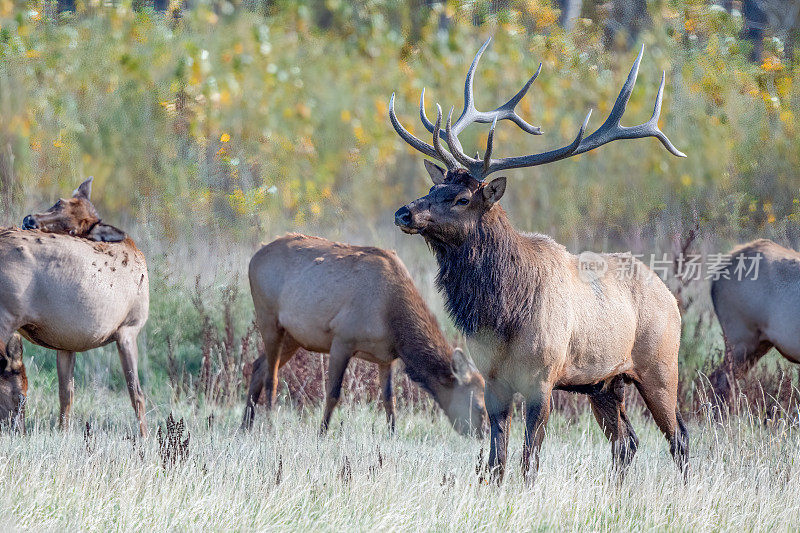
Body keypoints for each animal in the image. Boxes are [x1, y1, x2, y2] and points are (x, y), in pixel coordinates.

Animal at [0, 179, 150, 436]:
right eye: (58, 202)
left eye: (72, 230)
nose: (30, 221)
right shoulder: (128, 329)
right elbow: (136, 393)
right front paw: (146, 438)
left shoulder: (68, 342)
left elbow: (66, 393)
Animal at [241, 235, 488, 434]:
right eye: (478, 405)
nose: (483, 432)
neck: (393, 319)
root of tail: (253, 258)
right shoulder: (342, 340)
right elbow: (333, 393)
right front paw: (321, 433)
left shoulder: (386, 357)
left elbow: (390, 399)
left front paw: (392, 434)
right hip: (268, 319)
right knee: (271, 376)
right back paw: (270, 425)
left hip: (294, 336)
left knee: (258, 366)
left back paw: (245, 426)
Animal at [388, 38, 688, 482]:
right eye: (432, 186)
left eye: (462, 198)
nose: (404, 213)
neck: (503, 312)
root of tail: (671, 296)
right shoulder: (493, 377)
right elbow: (496, 460)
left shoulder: (543, 379)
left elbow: (530, 459)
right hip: (605, 384)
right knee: (626, 444)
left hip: (660, 367)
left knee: (678, 437)